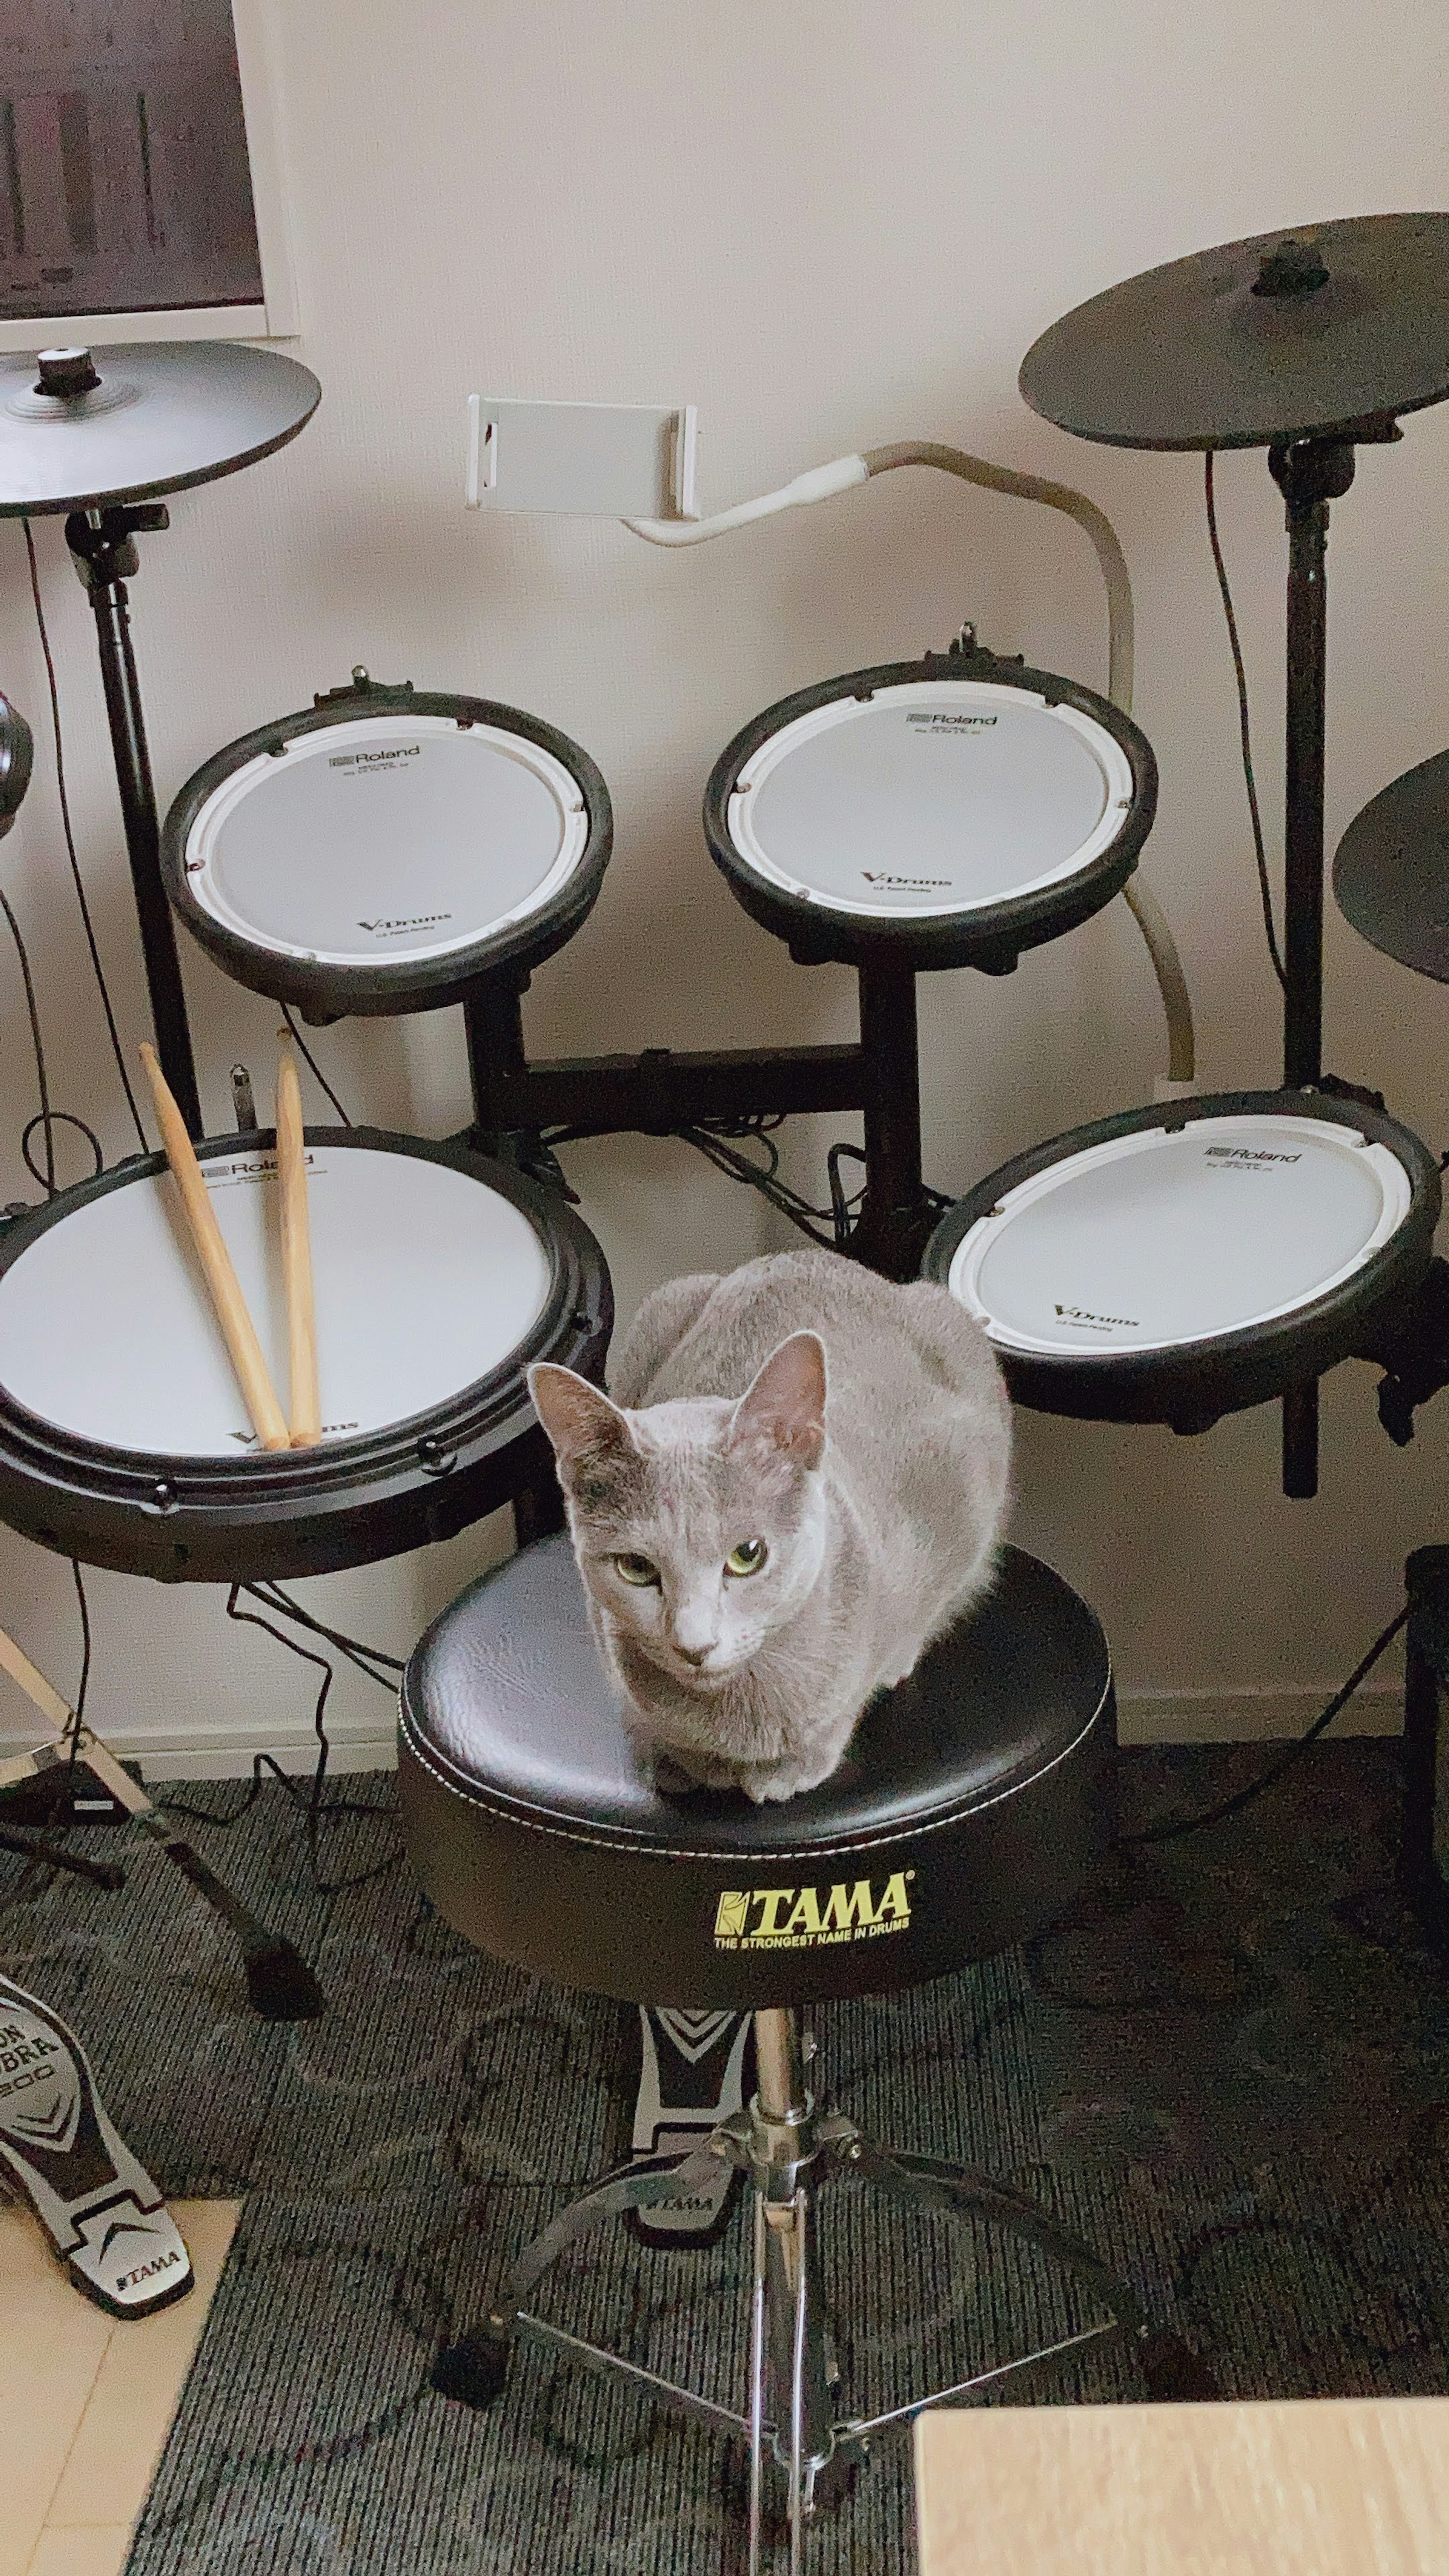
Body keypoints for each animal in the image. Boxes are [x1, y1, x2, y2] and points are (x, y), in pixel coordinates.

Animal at [523, 1241, 1011, 1803]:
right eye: (636, 1568)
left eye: (747, 1555)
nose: (694, 1646)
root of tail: (801, 1253)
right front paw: (681, 1761)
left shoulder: (958, 1488)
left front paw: (792, 1765)